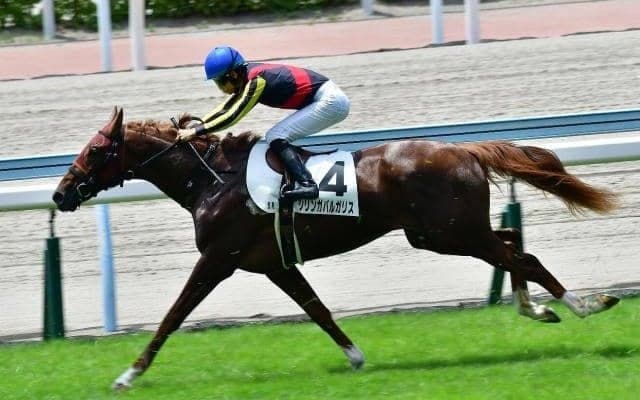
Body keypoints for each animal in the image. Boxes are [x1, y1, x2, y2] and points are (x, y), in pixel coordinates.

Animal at [53, 107, 620, 389]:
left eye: (97, 150)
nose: (60, 193)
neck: (212, 179)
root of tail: (465, 149)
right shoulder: (273, 264)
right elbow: (318, 310)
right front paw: (356, 357)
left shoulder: (218, 259)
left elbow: (172, 316)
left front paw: (128, 374)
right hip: (443, 233)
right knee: (511, 244)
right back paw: (537, 307)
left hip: (449, 233)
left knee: (522, 255)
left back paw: (586, 304)